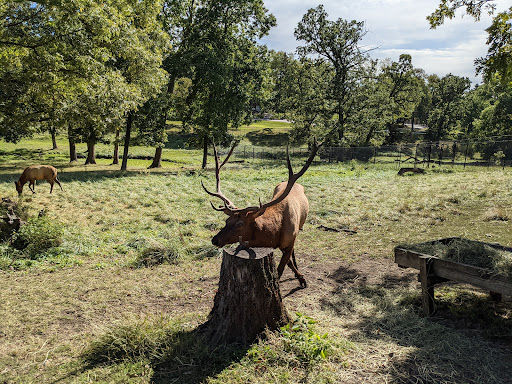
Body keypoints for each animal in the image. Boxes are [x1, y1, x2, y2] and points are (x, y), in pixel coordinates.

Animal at [201, 140, 318, 286]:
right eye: (226, 221)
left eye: (240, 224)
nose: (215, 239)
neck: (274, 235)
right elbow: (288, 263)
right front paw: (299, 276)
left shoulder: (291, 239)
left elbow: (281, 268)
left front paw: (301, 279)